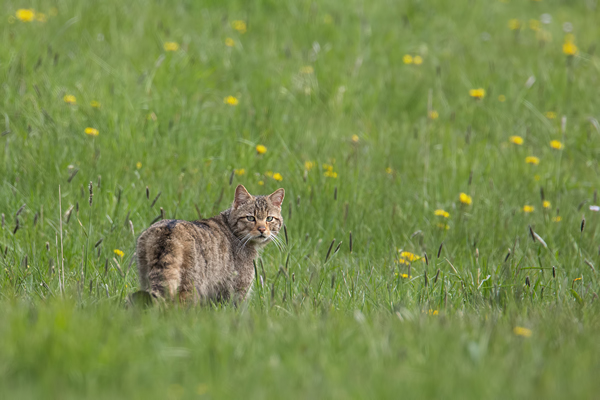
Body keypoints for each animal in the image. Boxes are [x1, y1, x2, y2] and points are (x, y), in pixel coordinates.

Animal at [136, 184, 286, 304]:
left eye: (269, 218)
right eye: (250, 218)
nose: (262, 229)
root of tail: (167, 231)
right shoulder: (239, 290)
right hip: (191, 287)